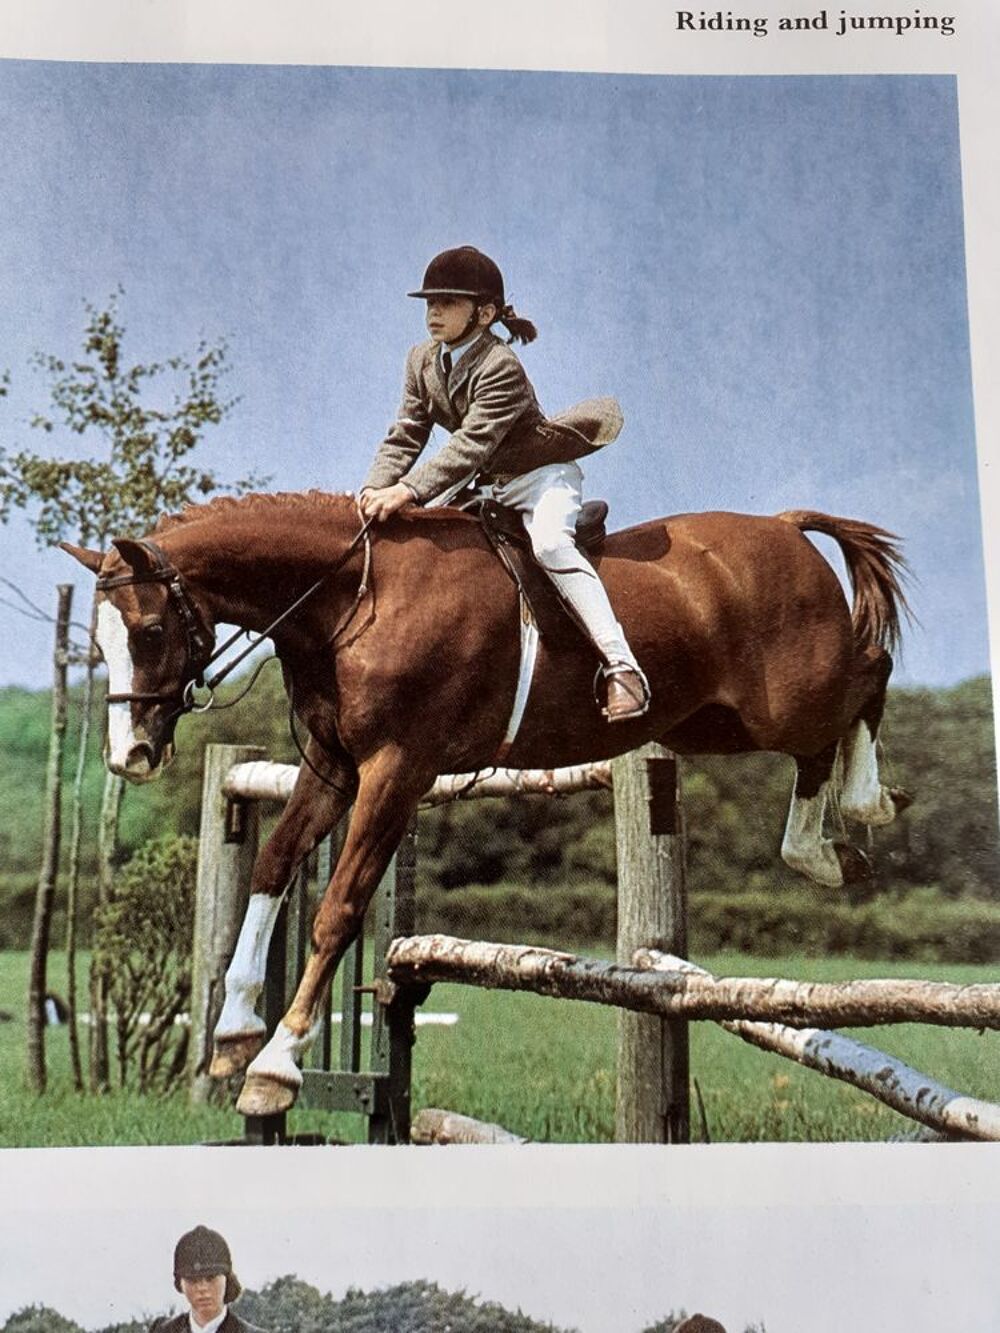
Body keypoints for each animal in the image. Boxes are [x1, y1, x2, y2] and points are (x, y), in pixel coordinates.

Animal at [64, 490, 909, 1116]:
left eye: (148, 630)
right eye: (99, 646)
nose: (130, 756)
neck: (348, 597)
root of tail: (784, 527)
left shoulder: (395, 771)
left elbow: (338, 908)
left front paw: (276, 1063)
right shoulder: (334, 767)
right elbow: (273, 866)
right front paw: (235, 1032)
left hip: (786, 697)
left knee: (869, 674)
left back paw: (862, 811)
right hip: (712, 724)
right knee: (826, 732)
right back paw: (829, 853)